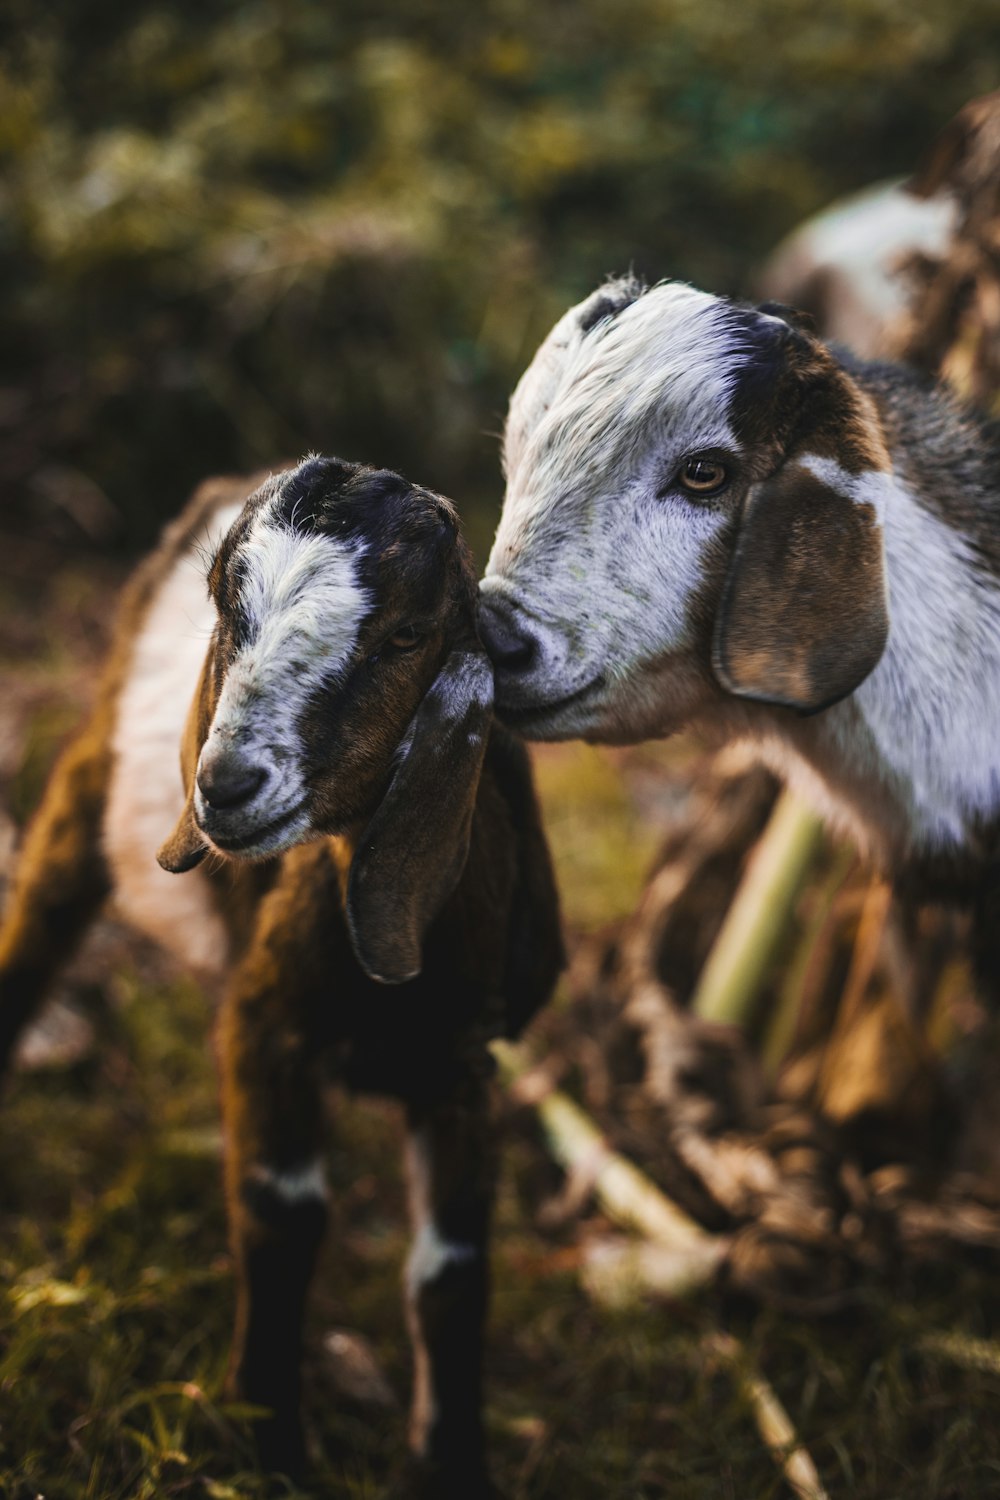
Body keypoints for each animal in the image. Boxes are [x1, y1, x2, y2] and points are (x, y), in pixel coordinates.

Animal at [0, 453, 563, 1488]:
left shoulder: (465, 1068)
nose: (225, 788)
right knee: (36, 936)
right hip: (88, 789)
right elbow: (283, 1212)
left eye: (409, 633)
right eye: (229, 610)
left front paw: (452, 1464)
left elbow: (452, 1269)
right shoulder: (269, 1027)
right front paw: (266, 1446)